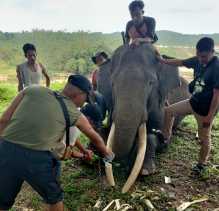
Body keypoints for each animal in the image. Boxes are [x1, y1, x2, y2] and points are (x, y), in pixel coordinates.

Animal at [96, 43, 188, 193]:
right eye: (113, 84)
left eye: (151, 83)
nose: (118, 189)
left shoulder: (162, 106)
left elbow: (158, 138)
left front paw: (144, 171)